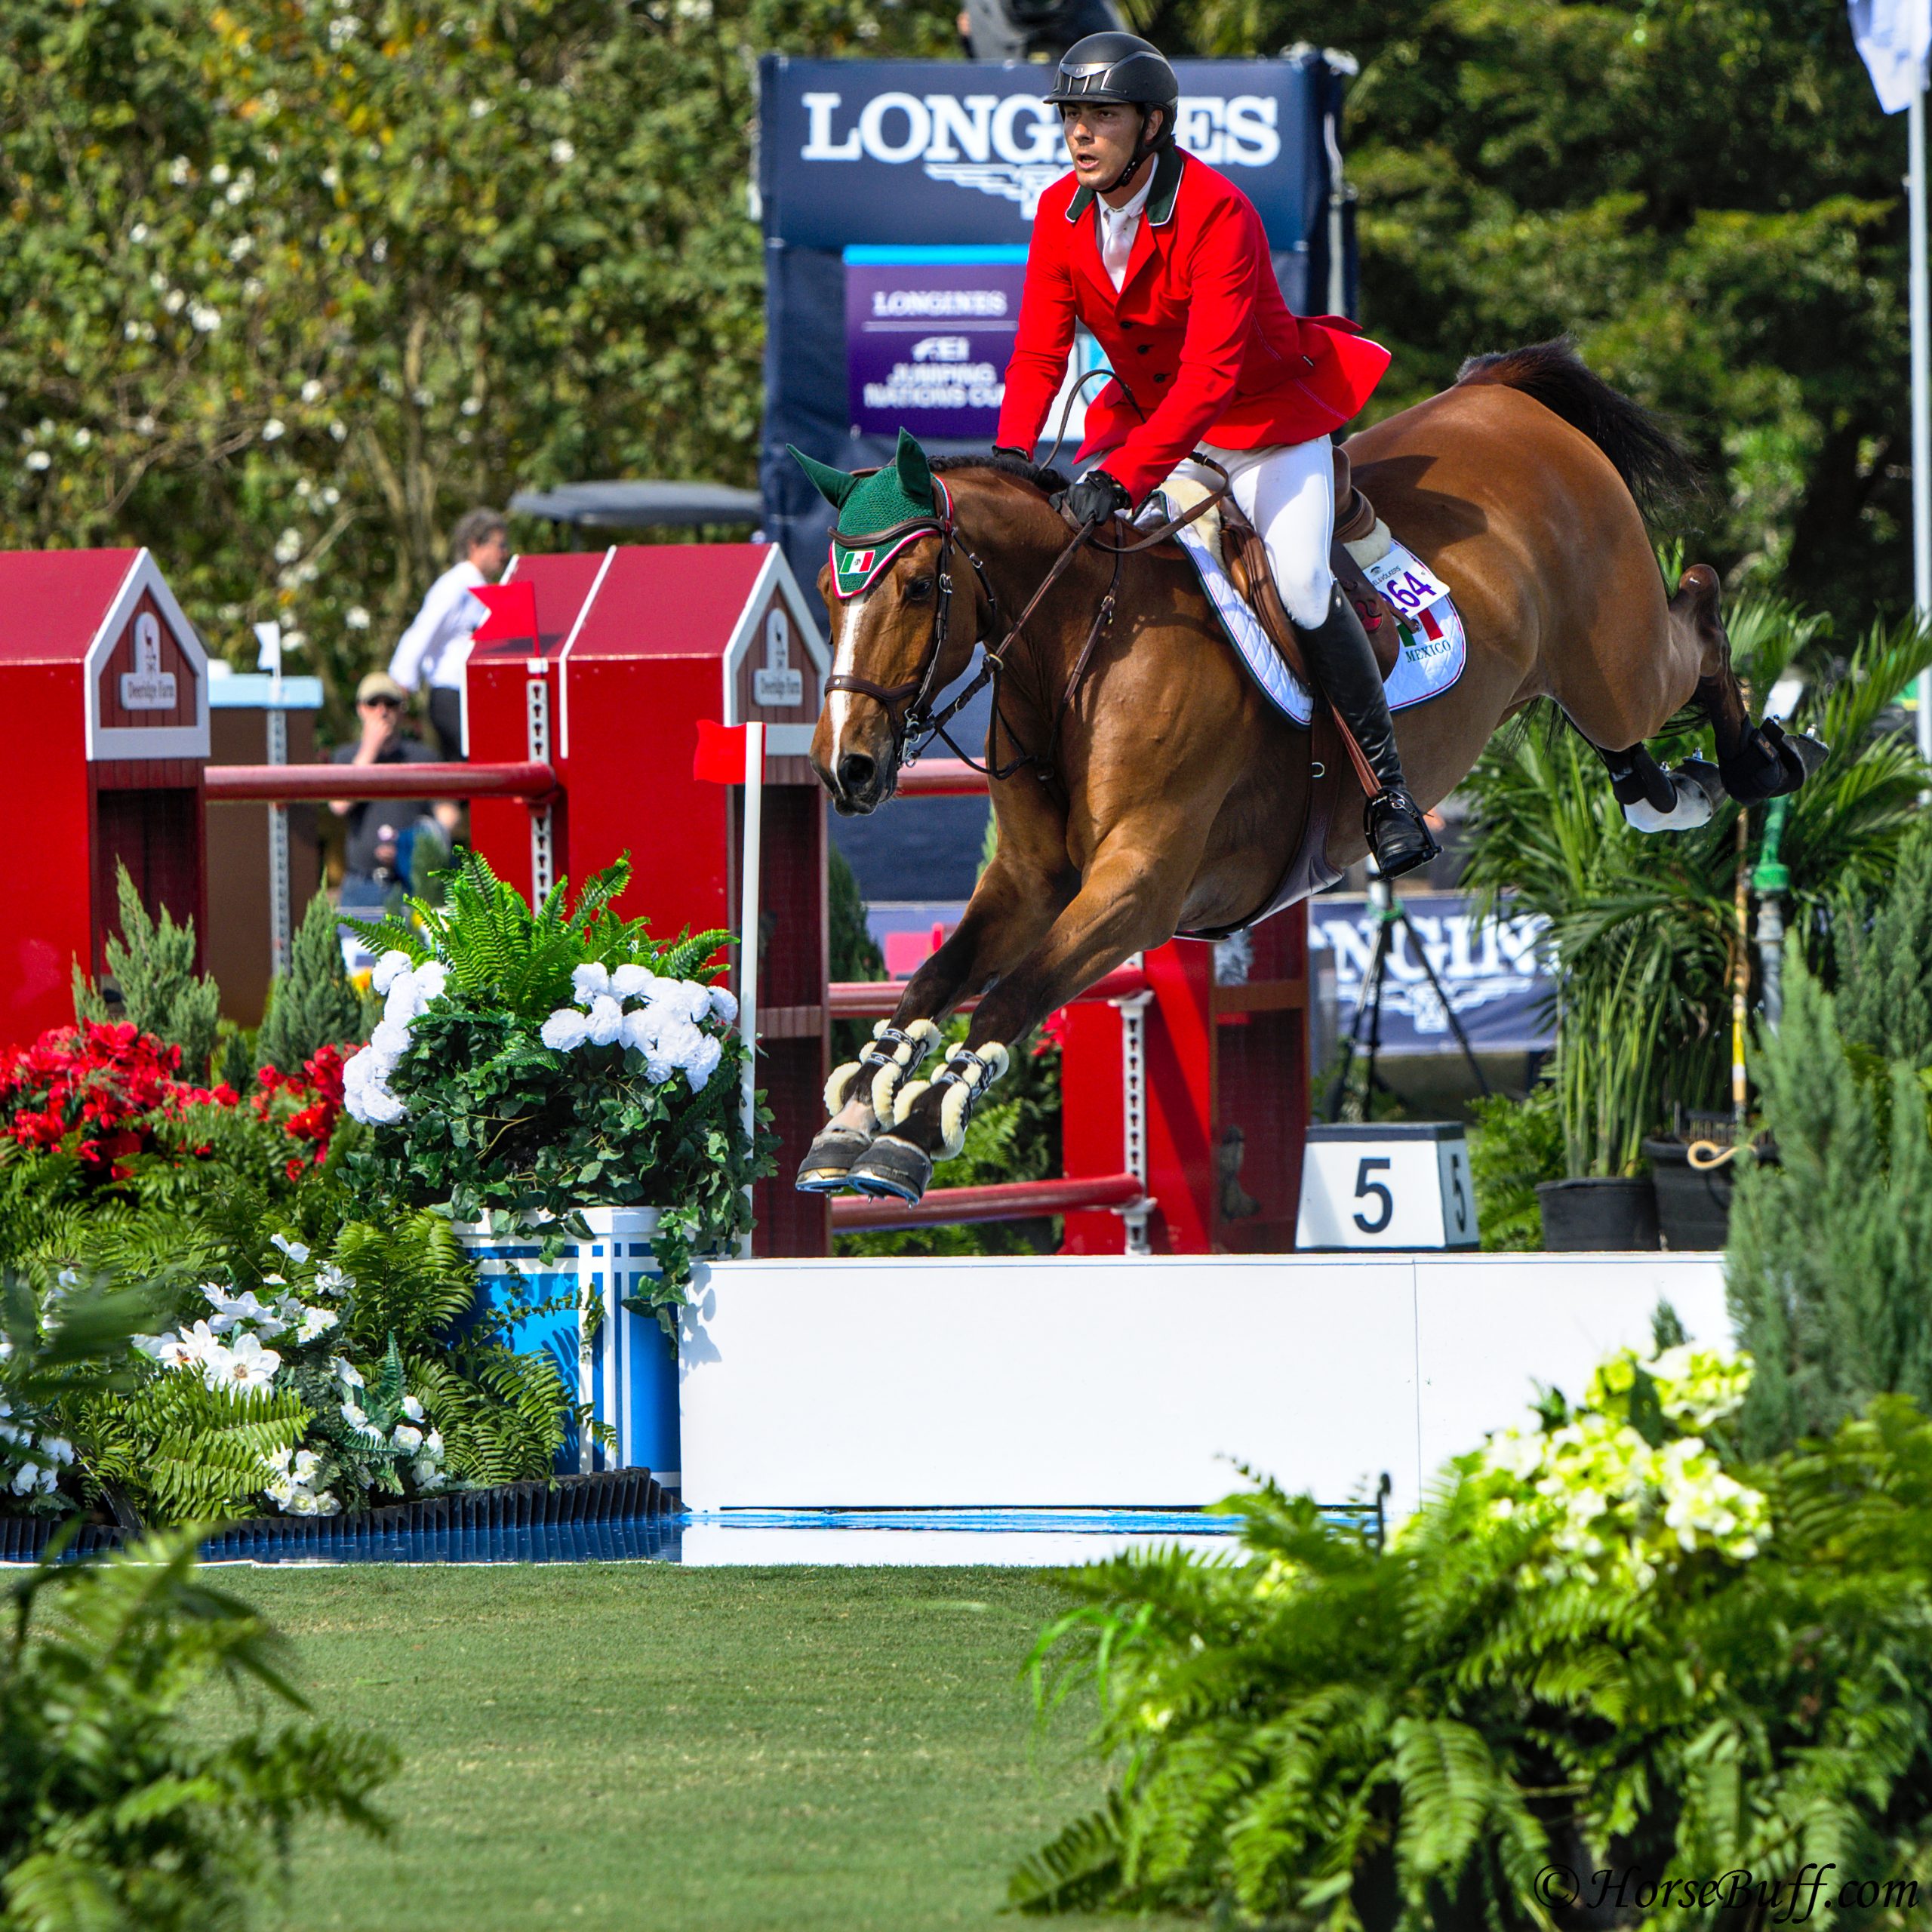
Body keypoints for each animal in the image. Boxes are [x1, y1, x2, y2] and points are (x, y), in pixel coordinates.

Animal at [799, 340, 1823, 1198]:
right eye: (825, 591)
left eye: (917, 587)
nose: (846, 767)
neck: (1081, 653)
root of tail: (1499, 395)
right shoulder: (1027, 881)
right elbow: (934, 979)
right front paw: (853, 1115)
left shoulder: (1138, 886)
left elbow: (1010, 992)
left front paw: (912, 1133)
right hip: (1578, 680)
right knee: (1637, 740)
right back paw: (1672, 790)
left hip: (1618, 664)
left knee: (1701, 616)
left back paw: (1766, 759)